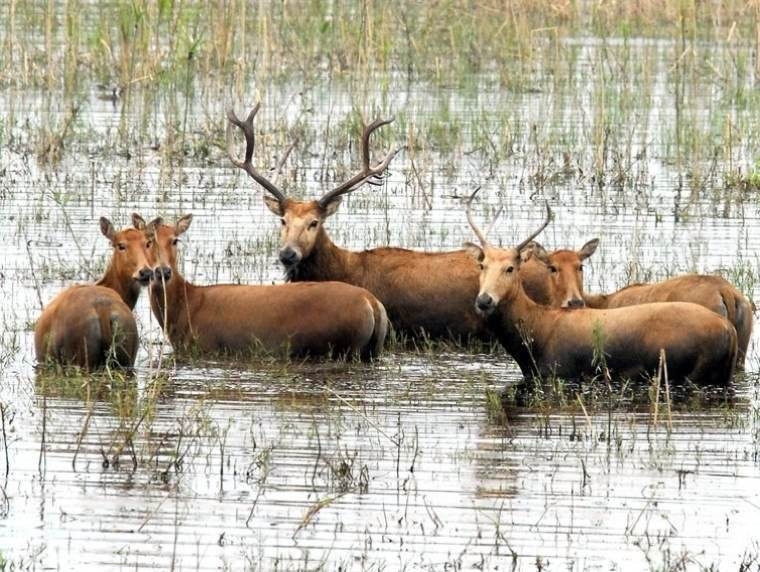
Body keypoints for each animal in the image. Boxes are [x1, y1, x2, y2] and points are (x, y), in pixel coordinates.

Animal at [34, 216, 154, 370]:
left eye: (148, 243)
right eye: (121, 245)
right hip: (127, 357)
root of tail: (103, 311)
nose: (145, 272)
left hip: (80, 356)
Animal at [528, 240, 756, 366]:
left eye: (580, 266)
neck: (602, 302)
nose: (574, 302)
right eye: (552, 267)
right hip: (741, 352)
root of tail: (727, 292)